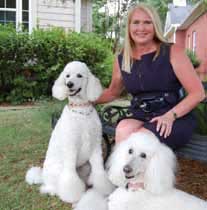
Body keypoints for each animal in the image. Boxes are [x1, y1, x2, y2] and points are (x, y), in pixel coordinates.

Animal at [26, 60, 114, 203]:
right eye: (67, 76)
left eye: (79, 75)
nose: (69, 84)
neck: (81, 111)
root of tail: (42, 176)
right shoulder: (71, 147)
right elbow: (70, 177)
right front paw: (72, 195)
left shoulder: (95, 146)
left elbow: (99, 171)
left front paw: (103, 188)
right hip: (57, 171)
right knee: (48, 187)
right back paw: (53, 191)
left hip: (85, 166)